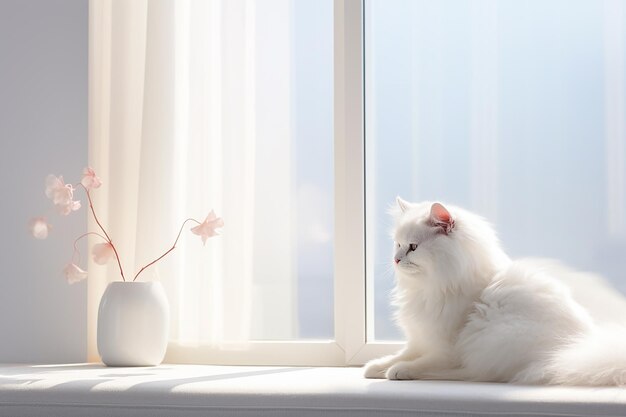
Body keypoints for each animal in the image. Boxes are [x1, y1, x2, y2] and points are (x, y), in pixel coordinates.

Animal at [364, 197, 626, 386]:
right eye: (397, 244)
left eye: (413, 247)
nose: (396, 259)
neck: (431, 286)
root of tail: (574, 350)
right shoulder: (420, 337)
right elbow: (401, 353)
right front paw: (374, 366)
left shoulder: (445, 347)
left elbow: (420, 362)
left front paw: (396, 369)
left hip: (492, 339)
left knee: (471, 373)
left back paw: (403, 373)